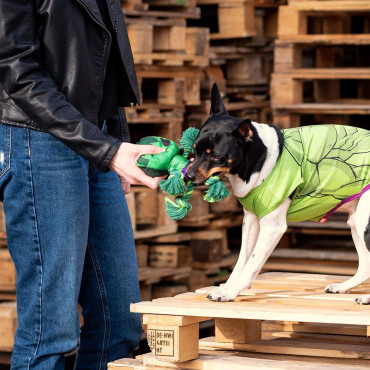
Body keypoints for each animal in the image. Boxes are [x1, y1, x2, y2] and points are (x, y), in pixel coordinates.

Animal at [188, 83, 370, 304]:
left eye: (215, 156)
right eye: (195, 150)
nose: (187, 176)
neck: (262, 158)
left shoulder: (272, 227)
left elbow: (252, 262)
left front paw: (230, 293)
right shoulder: (251, 222)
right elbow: (241, 262)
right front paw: (228, 287)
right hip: (357, 222)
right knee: (366, 266)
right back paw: (343, 287)